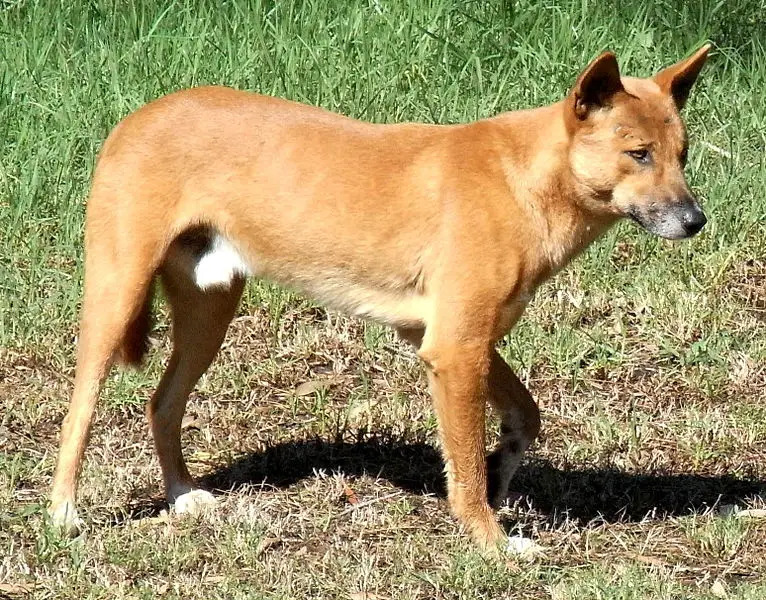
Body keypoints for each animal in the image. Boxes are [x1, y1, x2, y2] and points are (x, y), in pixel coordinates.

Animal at [49, 47, 712, 552]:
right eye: (638, 154)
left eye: (681, 156)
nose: (696, 221)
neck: (524, 180)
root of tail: (139, 114)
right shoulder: (455, 350)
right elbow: (466, 471)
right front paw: (492, 543)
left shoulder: (449, 339)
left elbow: (524, 417)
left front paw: (502, 473)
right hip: (116, 296)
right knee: (79, 412)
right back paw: (63, 514)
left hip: (210, 312)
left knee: (161, 404)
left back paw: (182, 496)